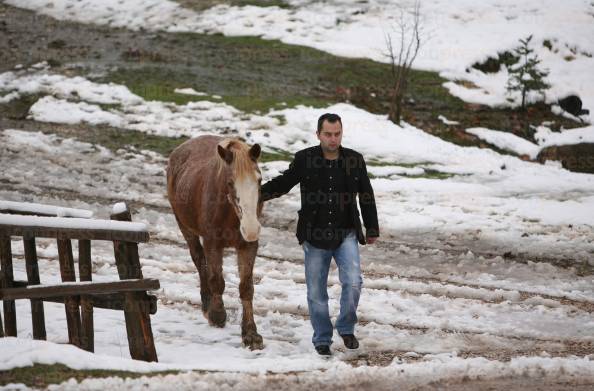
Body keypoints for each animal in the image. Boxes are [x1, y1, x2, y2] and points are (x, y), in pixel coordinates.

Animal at [164, 134, 262, 350]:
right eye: (230, 182)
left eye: (259, 180)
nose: (251, 228)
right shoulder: (212, 243)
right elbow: (216, 280)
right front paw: (217, 315)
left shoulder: (248, 246)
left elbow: (246, 288)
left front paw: (251, 333)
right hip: (186, 228)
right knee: (199, 261)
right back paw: (207, 303)